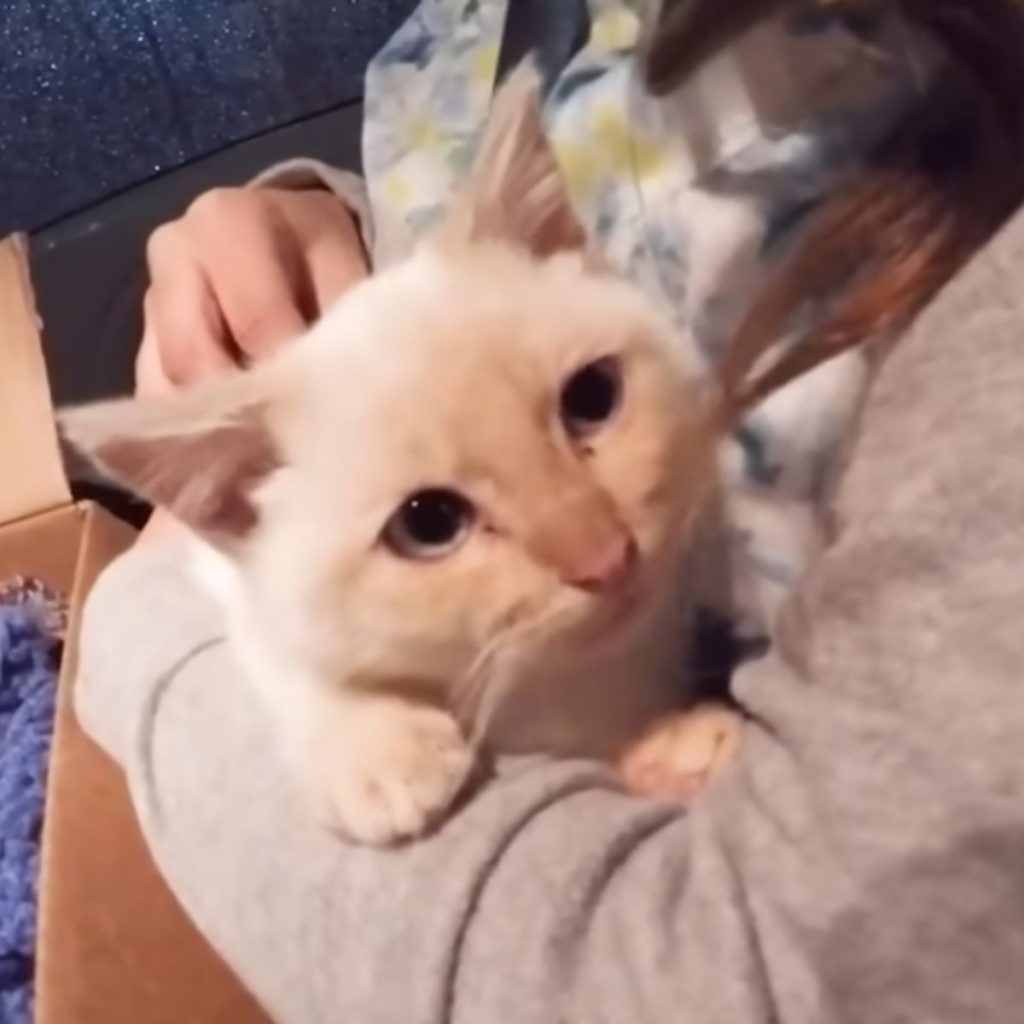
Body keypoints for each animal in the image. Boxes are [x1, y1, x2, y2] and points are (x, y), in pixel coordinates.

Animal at [61, 68, 737, 843]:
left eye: (593, 397)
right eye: (429, 523)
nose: (607, 558)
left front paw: (678, 746)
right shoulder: (223, 576)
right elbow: (276, 645)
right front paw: (380, 750)